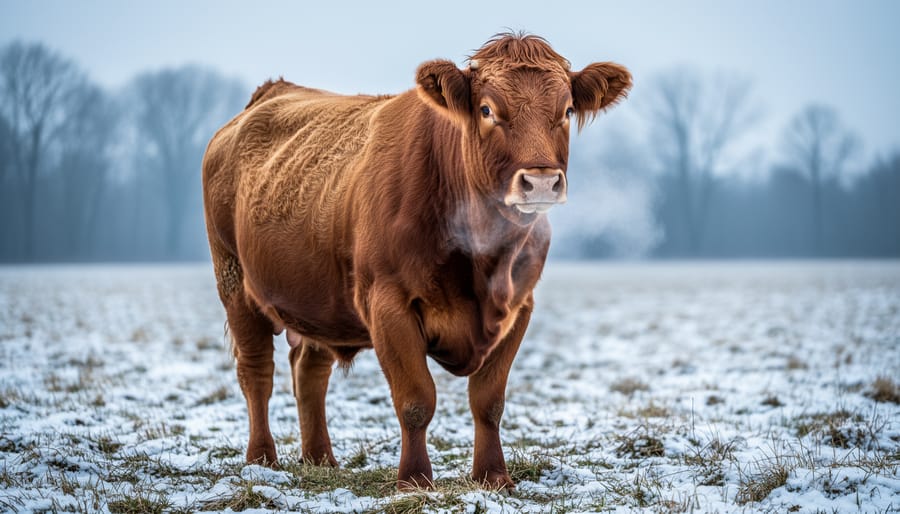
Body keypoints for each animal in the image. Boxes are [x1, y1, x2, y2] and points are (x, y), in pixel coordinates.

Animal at [201, 32, 631, 490]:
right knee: (256, 374)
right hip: (234, 281)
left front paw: (494, 476)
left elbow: (489, 401)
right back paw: (262, 461)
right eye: (487, 110)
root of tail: (271, 94)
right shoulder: (388, 303)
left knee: (309, 374)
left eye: (566, 110)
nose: (542, 181)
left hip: (316, 298)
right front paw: (415, 480)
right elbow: (415, 400)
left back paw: (321, 460)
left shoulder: (519, 307)